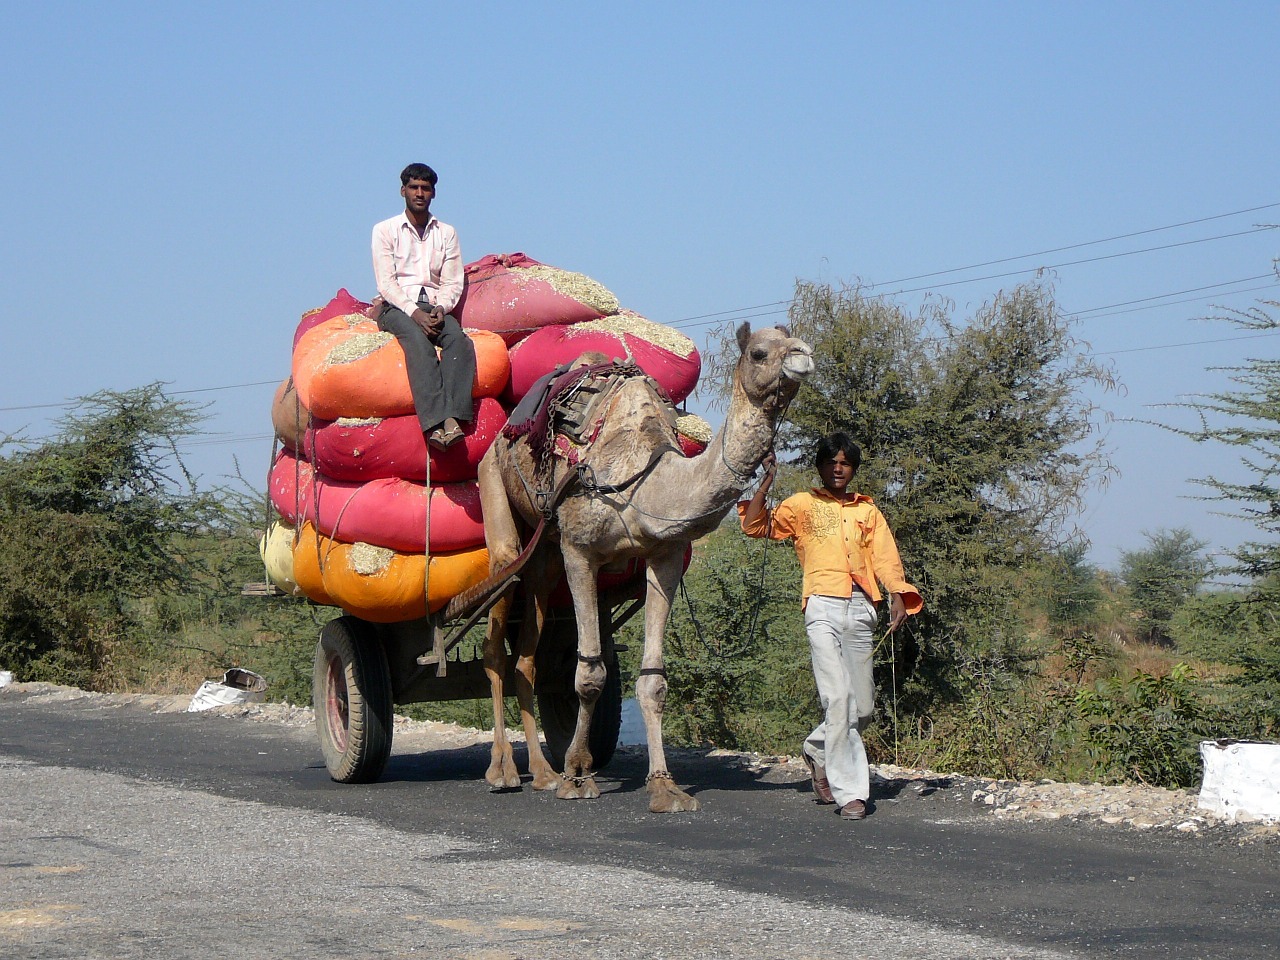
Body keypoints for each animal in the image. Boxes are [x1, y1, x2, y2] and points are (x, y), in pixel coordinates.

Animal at [476, 323, 814, 814]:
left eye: (799, 340)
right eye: (759, 352)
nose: (804, 357)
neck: (644, 480)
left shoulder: (664, 557)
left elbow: (654, 682)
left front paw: (664, 788)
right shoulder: (580, 552)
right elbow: (590, 673)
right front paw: (577, 776)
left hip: (545, 553)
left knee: (527, 652)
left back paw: (541, 773)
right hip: (495, 494)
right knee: (496, 638)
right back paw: (502, 770)